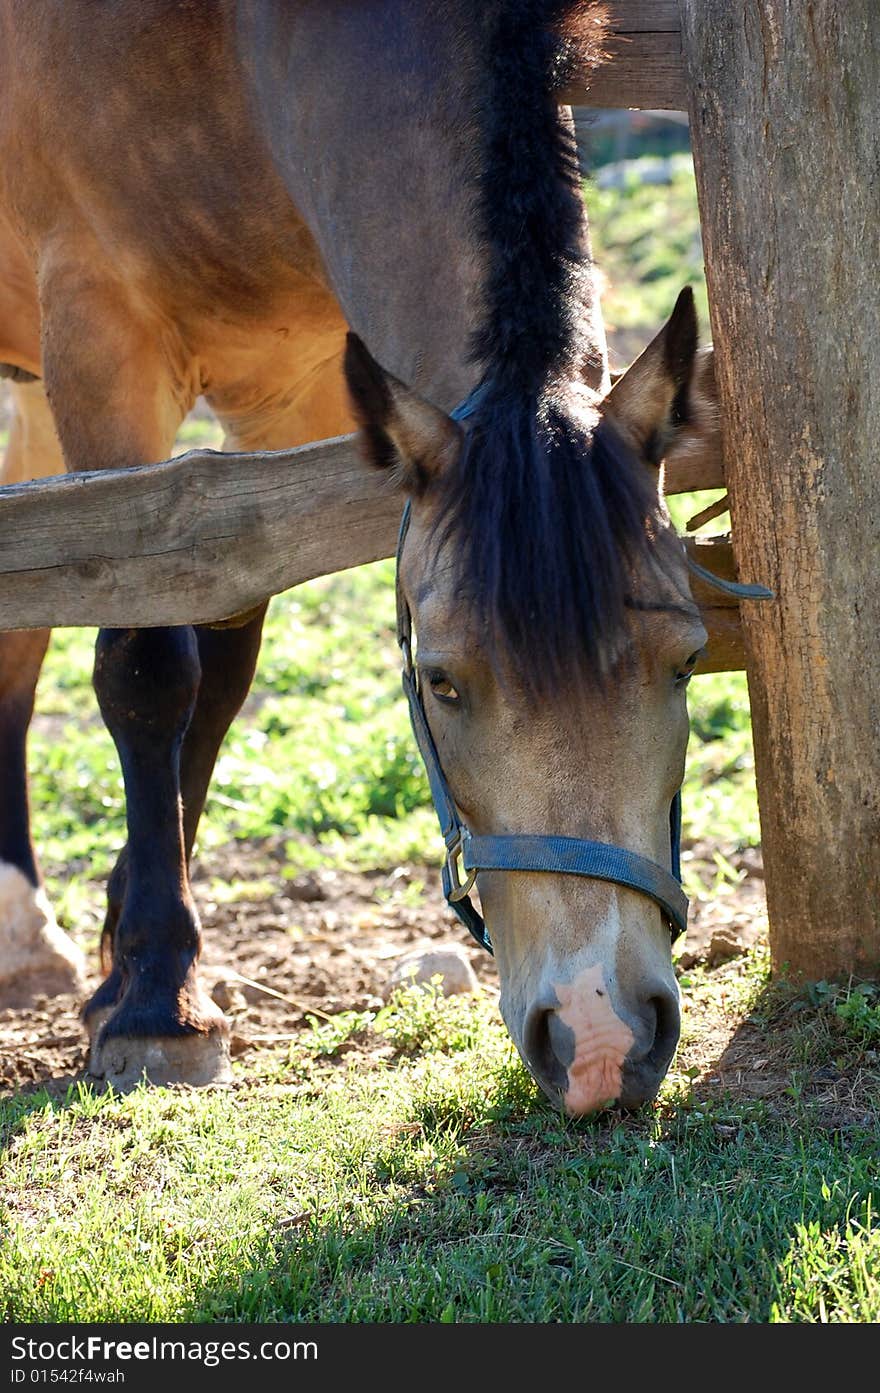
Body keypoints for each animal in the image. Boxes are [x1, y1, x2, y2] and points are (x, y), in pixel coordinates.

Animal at [1, 0, 724, 1108]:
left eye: (687, 660)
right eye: (440, 681)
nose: (600, 1039)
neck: (234, 49)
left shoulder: (294, 385)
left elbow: (221, 648)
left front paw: (132, 951)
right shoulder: (98, 338)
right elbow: (150, 665)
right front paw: (155, 1002)